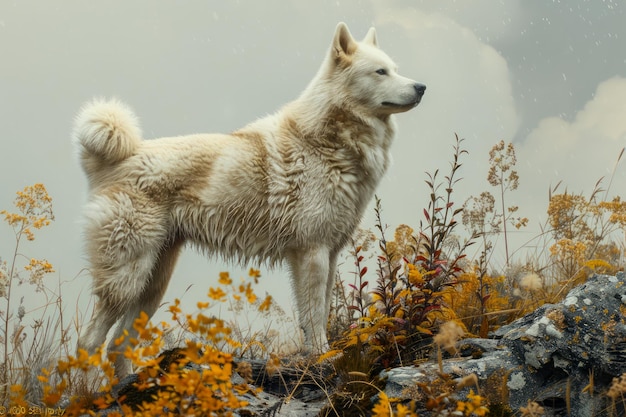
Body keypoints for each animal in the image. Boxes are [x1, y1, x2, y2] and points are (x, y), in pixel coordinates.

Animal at [73, 21, 424, 376]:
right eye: (380, 72)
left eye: (395, 68)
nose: (421, 86)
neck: (329, 142)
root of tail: (111, 159)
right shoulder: (312, 253)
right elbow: (314, 316)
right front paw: (322, 356)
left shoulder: (327, 252)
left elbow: (319, 312)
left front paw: (319, 355)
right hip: (127, 278)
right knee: (89, 342)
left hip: (152, 285)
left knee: (118, 346)